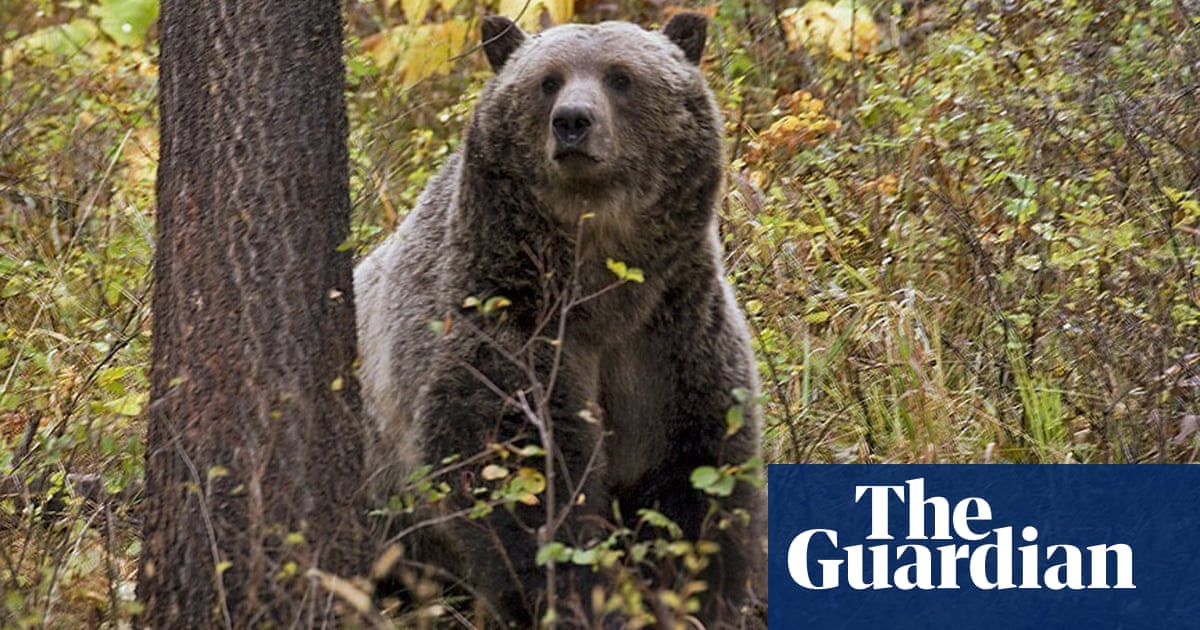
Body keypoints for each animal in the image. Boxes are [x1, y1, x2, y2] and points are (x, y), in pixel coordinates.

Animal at [354, 12, 764, 628]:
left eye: (621, 76)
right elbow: (522, 476)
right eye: (547, 80)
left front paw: (699, 595)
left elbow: (697, 471)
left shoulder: (672, 334)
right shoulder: (507, 321)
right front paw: (577, 596)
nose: (573, 121)